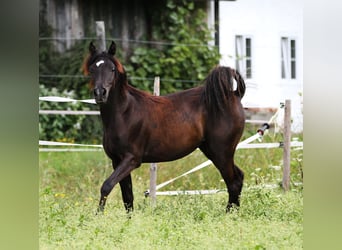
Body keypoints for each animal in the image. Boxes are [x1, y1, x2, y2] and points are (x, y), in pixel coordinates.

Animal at [84, 41, 247, 213]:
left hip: (222, 152)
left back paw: (229, 215)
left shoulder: (131, 160)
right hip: (212, 151)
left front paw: (98, 216)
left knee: (233, 182)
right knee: (238, 178)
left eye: (112, 69)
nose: (100, 93)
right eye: (92, 69)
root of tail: (234, 95)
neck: (124, 113)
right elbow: (127, 197)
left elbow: (107, 186)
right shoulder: (117, 160)